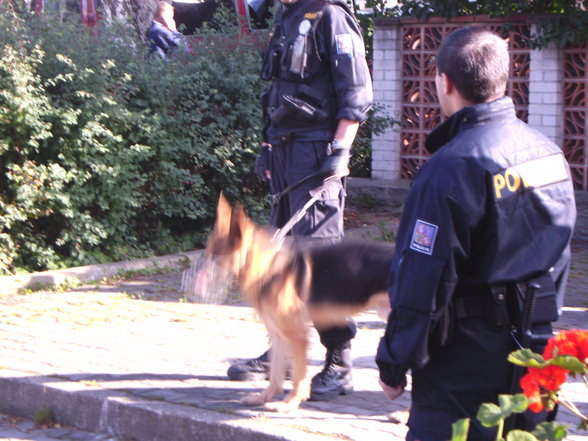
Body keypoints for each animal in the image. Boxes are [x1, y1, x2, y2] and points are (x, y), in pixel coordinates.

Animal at [207, 194, 396, 410]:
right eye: (208, 251)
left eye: (216, 257)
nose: (198, 280)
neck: (268, 267)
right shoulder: (279, 336)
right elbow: (275, 376)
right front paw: (264, 397)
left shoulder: (298, 337)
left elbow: (299, 377)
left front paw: (290, 403)